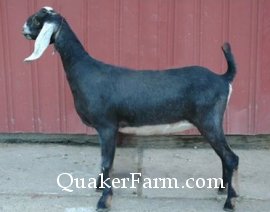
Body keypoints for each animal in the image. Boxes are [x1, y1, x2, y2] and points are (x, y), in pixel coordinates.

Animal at [23, 7, 238, 212]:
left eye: (36, 20)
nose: (23, 30)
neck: (86, 71)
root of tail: (223, 78)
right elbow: (105, 162)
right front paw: (99, 187)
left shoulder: (107, 126)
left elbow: (107, 162)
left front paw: (104, 201)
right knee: (224, 156)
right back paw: (222, 189)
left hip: (209, 121)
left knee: (231, 158)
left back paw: (230, 202)